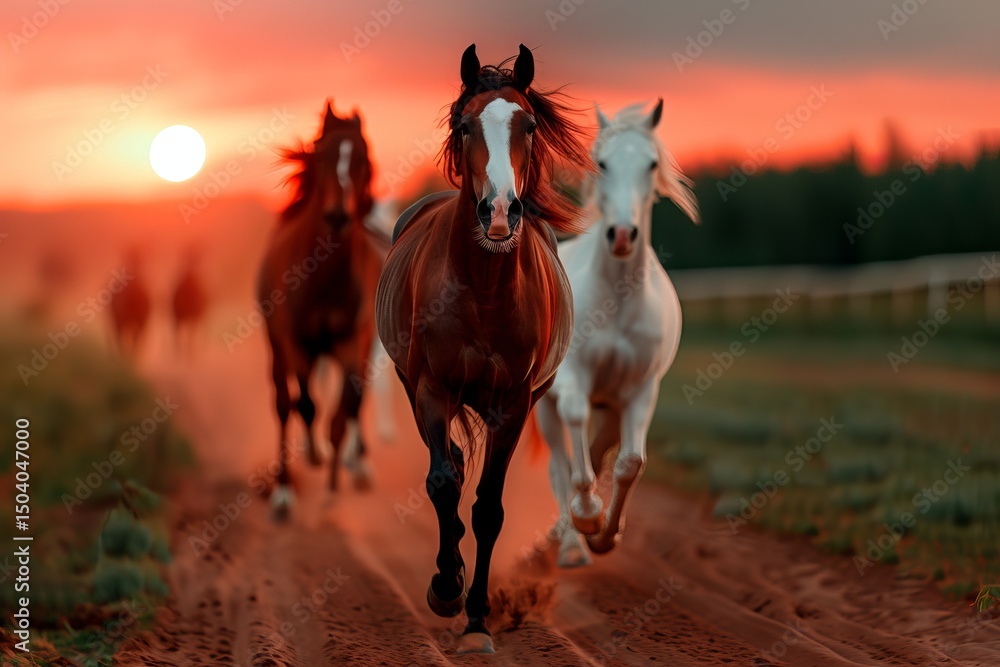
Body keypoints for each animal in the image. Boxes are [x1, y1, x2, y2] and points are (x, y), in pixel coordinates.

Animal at [257, 100, 382, 518]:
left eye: (362, 160)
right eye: (324, 155)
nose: (339, 215)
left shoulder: (351, 343)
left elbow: (342, 414)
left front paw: (332, 489)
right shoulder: (296, 342)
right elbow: (306, 405)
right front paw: (313, 457)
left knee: (352, 403)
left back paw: (355, 466)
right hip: (278, 346)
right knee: (285, 403)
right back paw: (283, 490)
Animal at [375, 43, 589, 654]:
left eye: (530, 125)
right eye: (465, 124)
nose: (499, 212)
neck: (485, 290)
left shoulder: (512, 404)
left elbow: (489, 507)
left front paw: (476, 621)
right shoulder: (431, 387)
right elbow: (444, 483)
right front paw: (447, 589)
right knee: (445, 464)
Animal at [535, 100, 700, 567]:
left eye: (651, 164)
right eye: (602, 163)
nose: (622, 234)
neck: (618, 303)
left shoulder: (639, 391)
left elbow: (629, 463)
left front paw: (605, 534)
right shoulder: (573, 382)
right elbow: (576, 449)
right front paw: (586, 520)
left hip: (609, 407)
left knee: (595, 454)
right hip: (544, 406)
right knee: (559, 464)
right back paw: (568, 543)